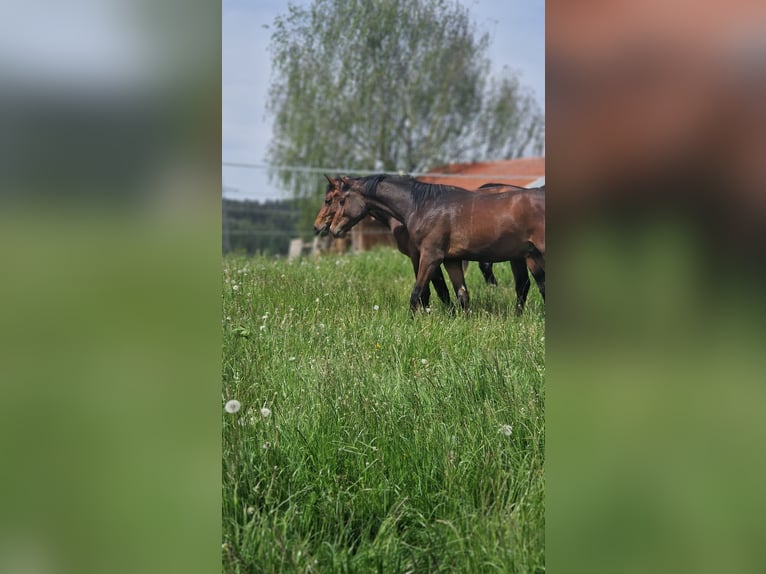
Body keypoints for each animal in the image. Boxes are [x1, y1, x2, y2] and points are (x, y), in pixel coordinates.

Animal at [329, 174, 545, 314]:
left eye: (340, 200)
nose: (332, 229)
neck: (422, 206)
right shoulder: (451, 260)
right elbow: (461, 294)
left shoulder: (429, 256)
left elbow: (418, 292)